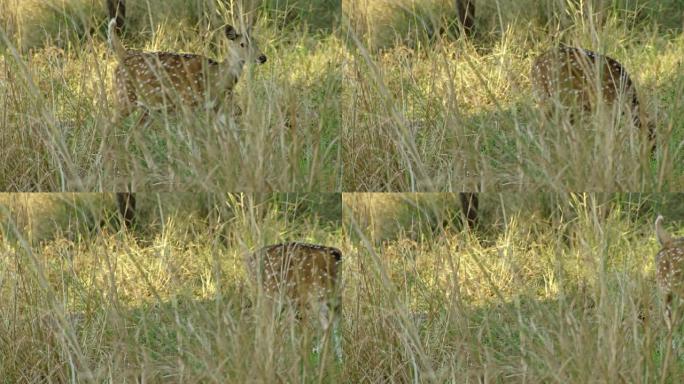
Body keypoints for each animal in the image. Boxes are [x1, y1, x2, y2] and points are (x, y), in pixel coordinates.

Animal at [108, 16, 266, 119]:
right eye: (242, 44)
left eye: (256, 42)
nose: (263, 57)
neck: (216, 77)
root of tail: (124, 54)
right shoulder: (188, 103)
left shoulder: (213, 107)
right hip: (123, 97)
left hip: (150, 109)